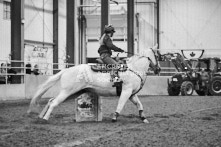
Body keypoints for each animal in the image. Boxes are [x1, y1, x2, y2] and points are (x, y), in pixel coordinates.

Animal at [27, 48, 161, 123]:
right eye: (158, 56)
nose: (158, 69)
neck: (134, 69)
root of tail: (66, 70)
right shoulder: (126, 91)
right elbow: (120, 104)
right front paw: (114, 117)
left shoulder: (132, 94)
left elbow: (139, 105)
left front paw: (144, 118)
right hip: (67, 92)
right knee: (54, 102)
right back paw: (45, 119)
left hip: (73, 93)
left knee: (50, 100)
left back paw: (40, 117)